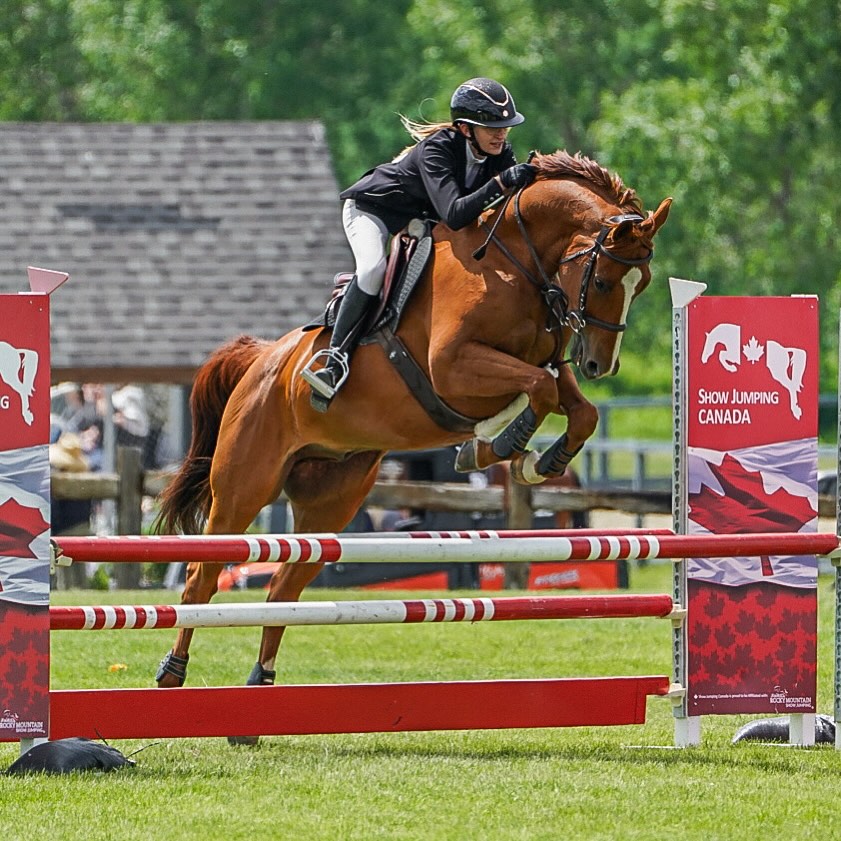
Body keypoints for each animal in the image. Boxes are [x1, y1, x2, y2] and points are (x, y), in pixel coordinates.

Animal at [154, 150, 671, 740]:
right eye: (605, 280)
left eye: (643, 283)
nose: (600, 365)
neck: (515, 263)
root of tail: (260, 358)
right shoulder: (454, 368)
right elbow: (534, 391)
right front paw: (495, 446)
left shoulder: (546, 362)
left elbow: (578, 410)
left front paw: (537, 461)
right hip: (243, 487)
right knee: (201, 579)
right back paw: (172, 674)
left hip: (331, 500)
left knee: (283, 589)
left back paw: (256, 697)